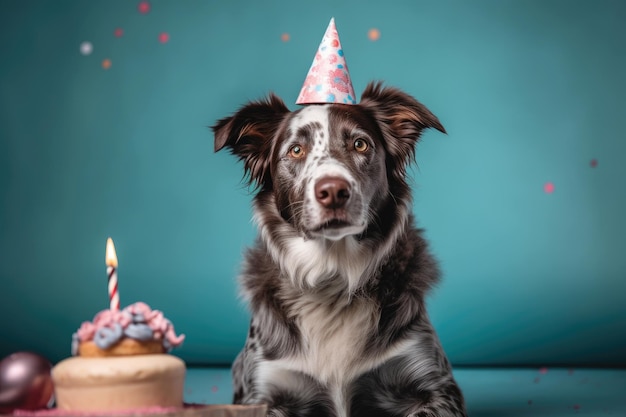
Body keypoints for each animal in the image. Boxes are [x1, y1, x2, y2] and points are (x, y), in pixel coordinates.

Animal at [212, 82, 466, 416]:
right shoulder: (261, 392)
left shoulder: (436, 387)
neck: (333, 273)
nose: (333, 191)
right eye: (296, 150)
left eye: (360, 144)